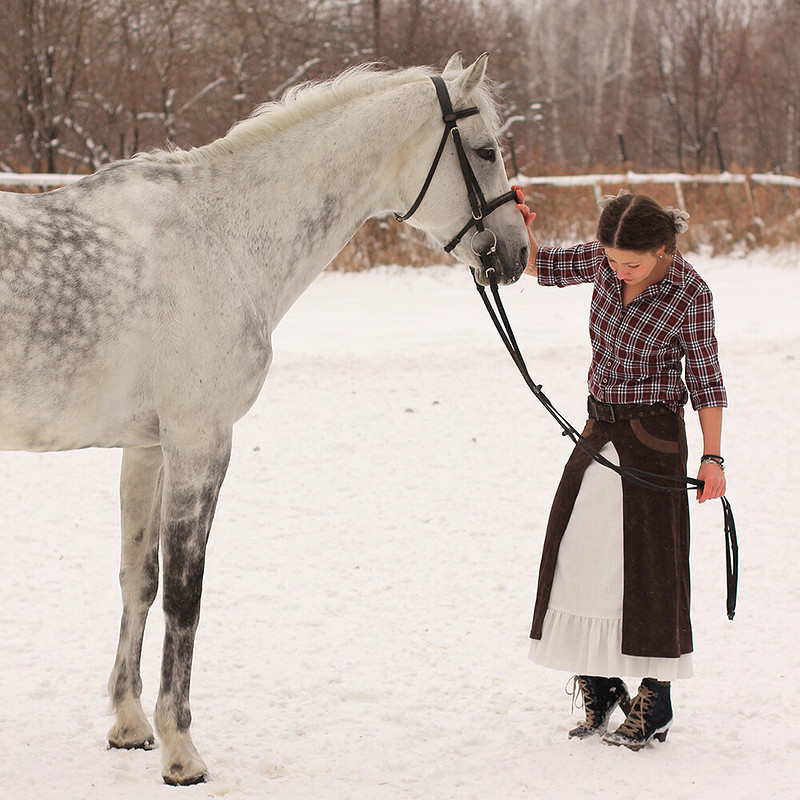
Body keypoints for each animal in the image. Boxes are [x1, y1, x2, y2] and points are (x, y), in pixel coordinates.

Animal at [0, 53, 528, 784]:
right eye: (485, 152)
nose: (516, 252)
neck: (222, 234)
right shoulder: (201, 443)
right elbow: (185, 594)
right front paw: (182, 750)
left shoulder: (149, 449)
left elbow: (140, 579)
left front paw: (130, 724)